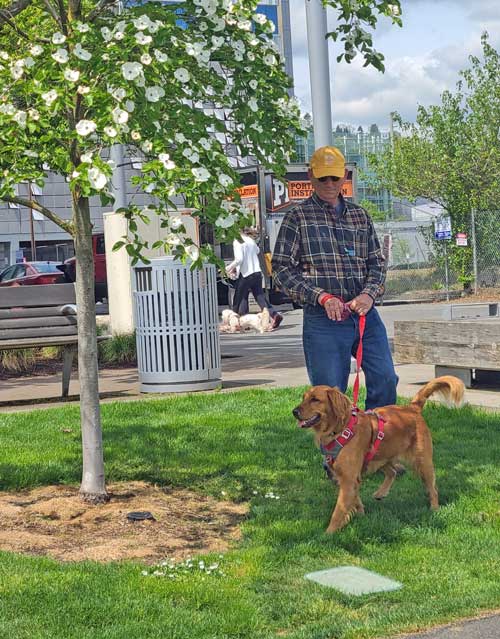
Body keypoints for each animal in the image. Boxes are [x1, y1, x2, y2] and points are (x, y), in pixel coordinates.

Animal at [292, 378, 464, 532]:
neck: (338, 431)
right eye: (303, 397)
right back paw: (381, 493)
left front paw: (328, 534)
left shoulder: (348, 479)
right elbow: (355, 499)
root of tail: (412, 408)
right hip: (380, 457)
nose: (294, 412)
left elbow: (338, 511)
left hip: (423, 463)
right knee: (392, 472)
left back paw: (434, 508)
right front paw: (360, 514)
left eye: (315, 399)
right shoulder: (347, 477)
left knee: (433, 489)